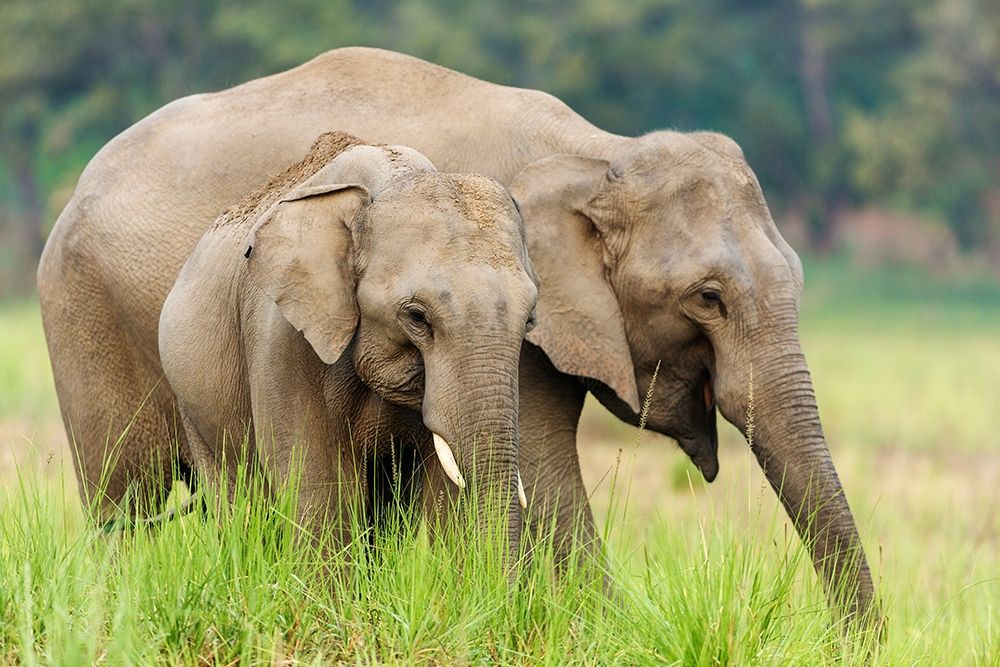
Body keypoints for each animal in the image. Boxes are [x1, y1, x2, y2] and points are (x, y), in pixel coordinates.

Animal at [38, 47, 876, 624]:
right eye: (708, 297)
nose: (848, 640)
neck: (597, 152)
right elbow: (544, 474)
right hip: (84, 315)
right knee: (126, 502)